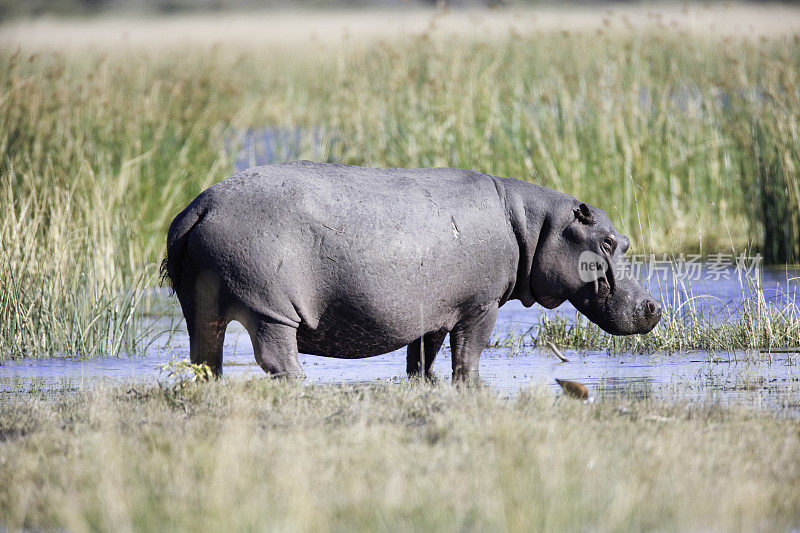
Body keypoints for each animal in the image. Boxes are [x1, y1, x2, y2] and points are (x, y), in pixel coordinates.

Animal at [162, 160, 664, 380]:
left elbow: (421, 359)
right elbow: (469, 355)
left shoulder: (434, 313)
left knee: (205, 353)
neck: (534, 224)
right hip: (271, 308)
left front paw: (424, 382)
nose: (654, 307)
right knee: (276, 358)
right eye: (606, 242)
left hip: (200, 305)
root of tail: (200, 206)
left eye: (624, 241)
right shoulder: (480, 306)